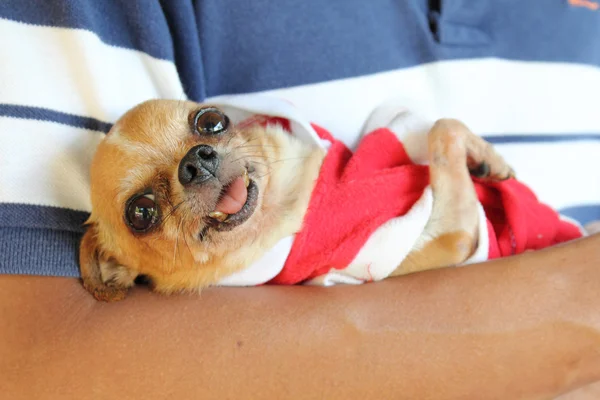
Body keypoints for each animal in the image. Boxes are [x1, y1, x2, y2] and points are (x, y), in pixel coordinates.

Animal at [79, 99, 520, 300]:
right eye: (141, 212)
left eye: (211, 120)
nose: (194, 162)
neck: (290, 200)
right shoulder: (450, 237)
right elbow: (442, 134)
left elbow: (443, 125)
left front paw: (492, 160)